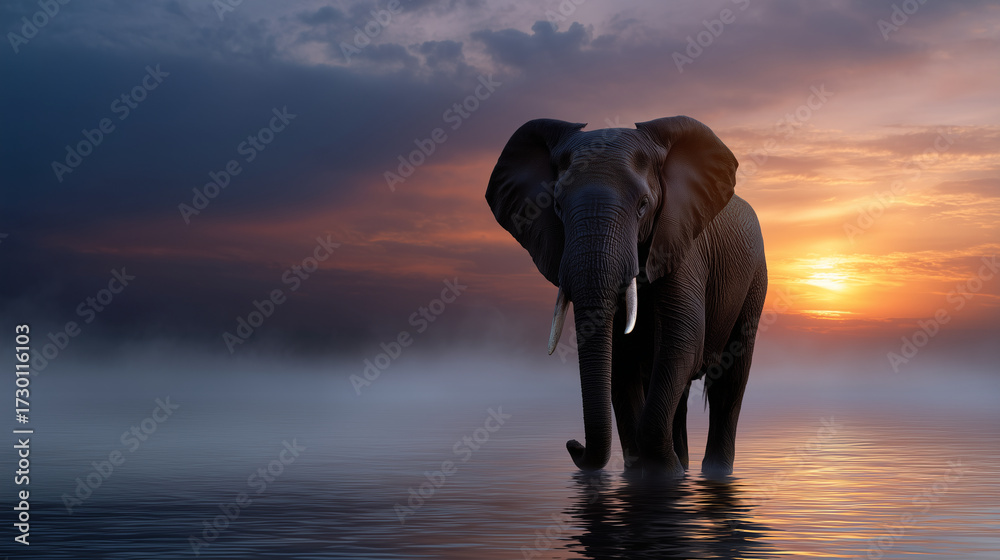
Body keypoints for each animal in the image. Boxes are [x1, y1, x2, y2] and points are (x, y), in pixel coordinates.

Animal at [485, 116, 767, 477]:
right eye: (557, 206)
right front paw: (645, 476)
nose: (573, 445)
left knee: (727, 385)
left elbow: (682, 342)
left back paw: (712, 473)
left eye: (643, 206)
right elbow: (622, 361)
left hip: (754, 280)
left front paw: (664, 476)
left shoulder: (681, 243)